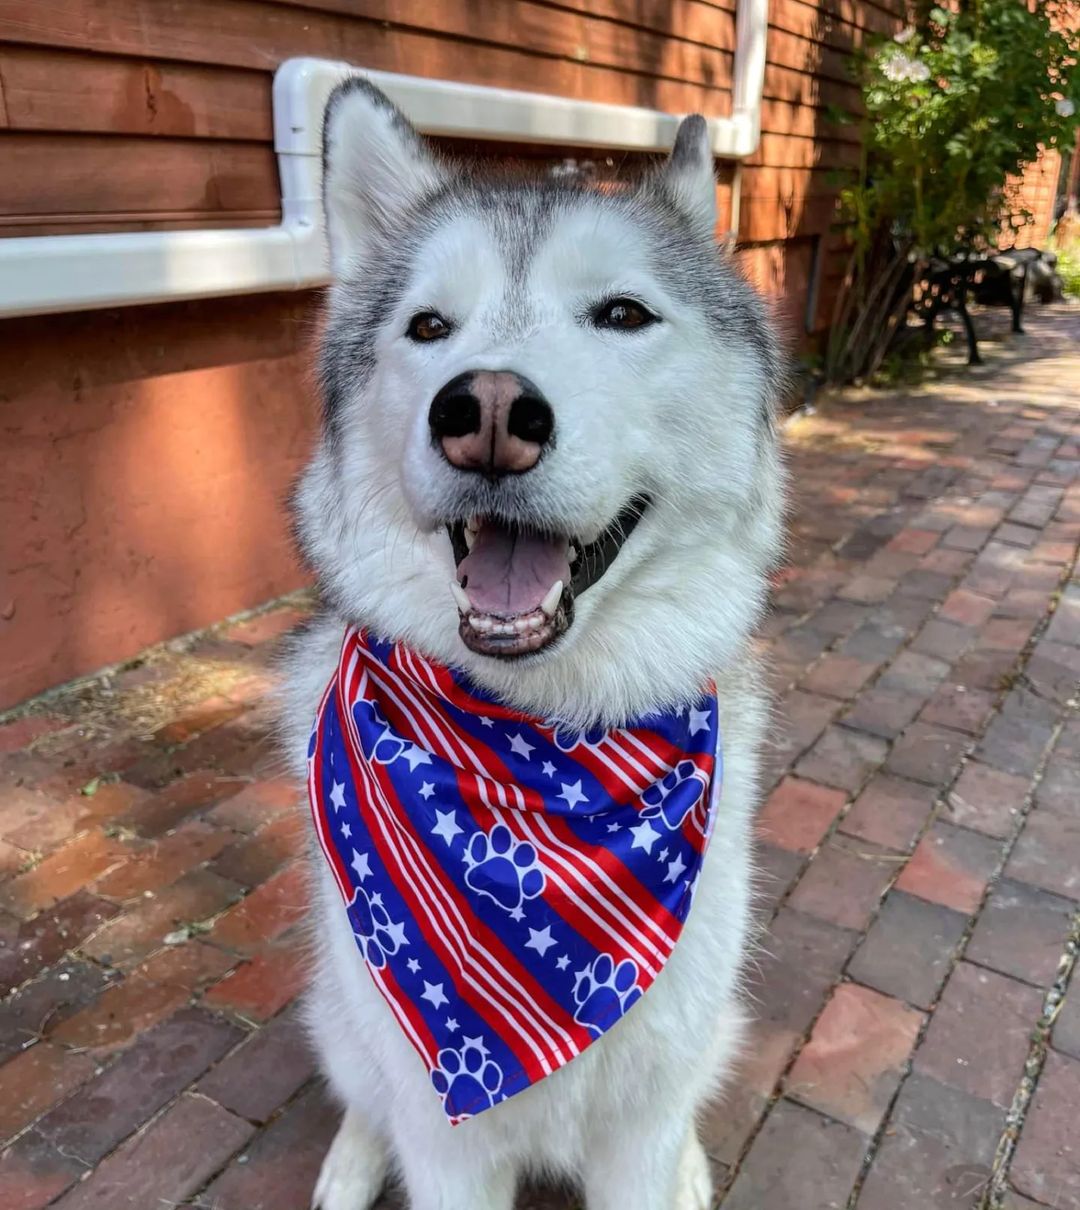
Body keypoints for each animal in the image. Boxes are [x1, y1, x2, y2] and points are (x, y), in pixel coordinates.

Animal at [279, 77, 786, 1210]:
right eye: (429, 326)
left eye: (623, 314)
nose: (488, 410)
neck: (543, 742)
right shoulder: (447, 1145)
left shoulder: (641, 1120)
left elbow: (655, 1145)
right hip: (340, 1010)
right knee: (359, 1093)